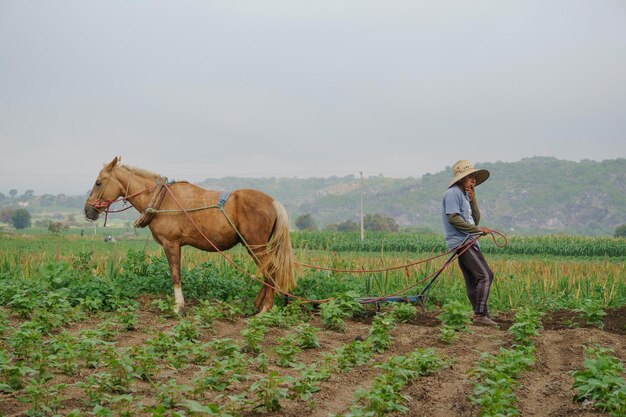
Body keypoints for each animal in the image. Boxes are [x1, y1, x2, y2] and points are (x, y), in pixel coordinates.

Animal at [83, 156, 294, 312]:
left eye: (98, 182)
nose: (87, 211)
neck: (162, 200)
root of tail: (273, 202)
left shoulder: (171, 243)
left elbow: (175, 274)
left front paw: (178, 306)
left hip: (255, 245)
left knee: (271, 271)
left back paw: (265, 308)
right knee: (268, 272)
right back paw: (258, 304)